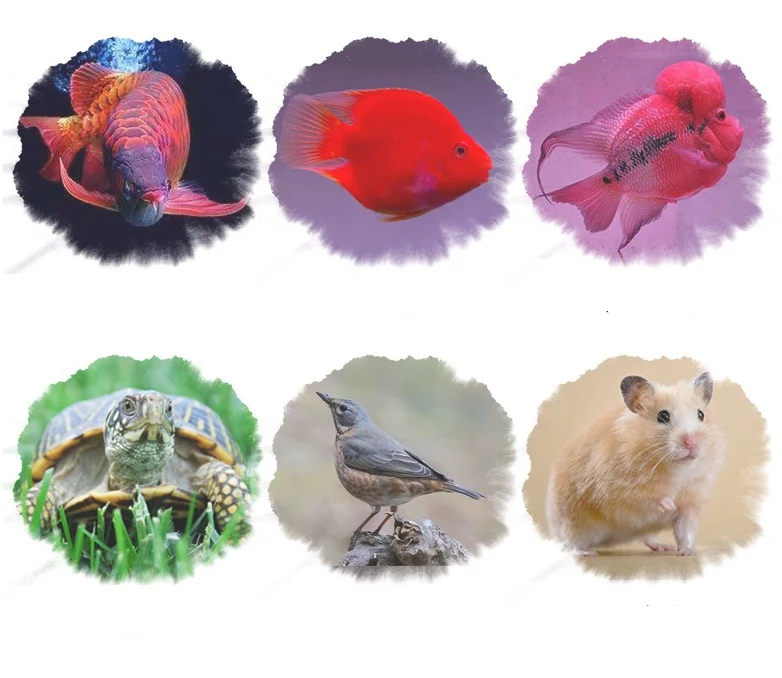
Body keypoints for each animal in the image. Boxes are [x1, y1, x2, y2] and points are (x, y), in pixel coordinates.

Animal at [546, 371, 726, 556]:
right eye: (663, 416)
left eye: (701, 414)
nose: (692, 443)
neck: (676, 467)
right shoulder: (618, 489)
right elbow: (646, 497)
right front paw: (669, 504)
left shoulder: (691, 504)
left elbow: (685, 531)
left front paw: (688, 552)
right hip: (572, 521)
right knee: (570, 542)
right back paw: (587, 552)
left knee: (647, 538)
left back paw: (662, 547)